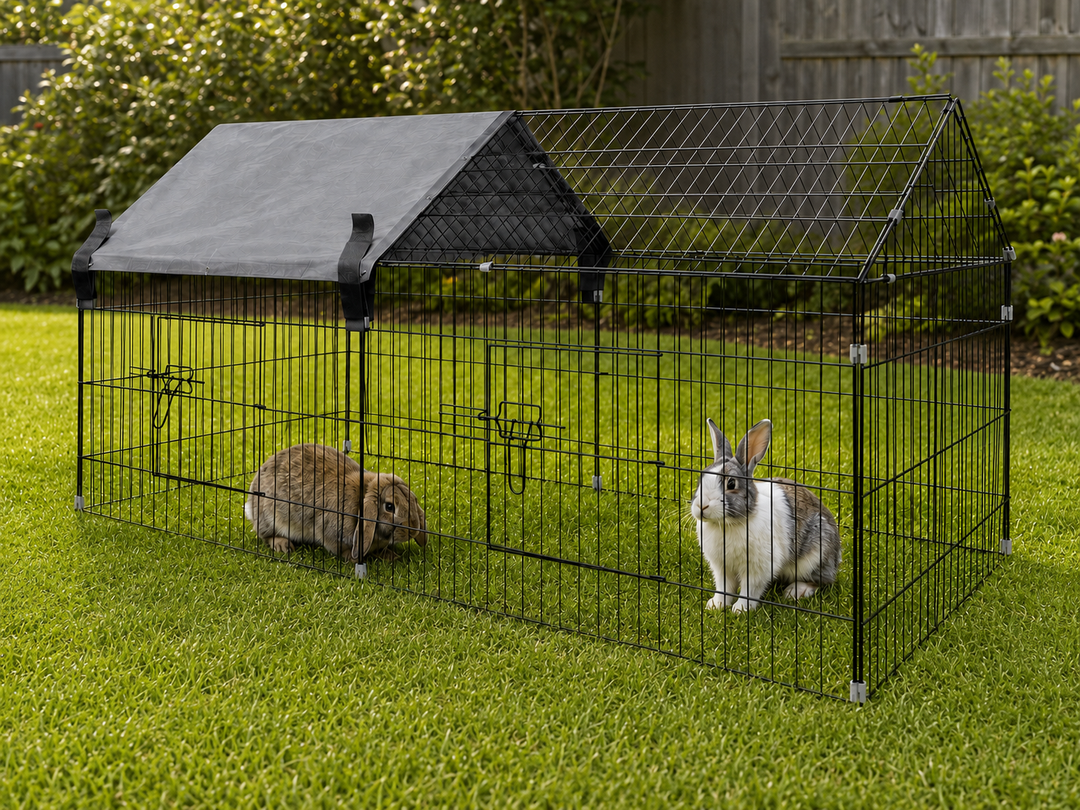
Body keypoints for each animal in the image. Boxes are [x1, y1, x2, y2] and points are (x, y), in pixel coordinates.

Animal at [244, 443, 427, 563]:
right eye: (389, 507)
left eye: (413, 500)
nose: (412, 530)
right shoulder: (328, 531)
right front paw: (352, 558)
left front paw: (390, 555)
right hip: (269, 518)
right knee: (266, 535)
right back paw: (282, 545)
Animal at [690, 418, 841, 614]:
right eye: (701, 479)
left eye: (731, 484)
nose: (702, 505)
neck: (728, 524)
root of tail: (837, 556)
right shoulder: (721, 566)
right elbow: (724, 587)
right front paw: (716, 605)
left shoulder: (758, 567)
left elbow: (750, 589)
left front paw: (740, 609)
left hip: (815, 555)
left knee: (820, 580)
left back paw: (796, 591)